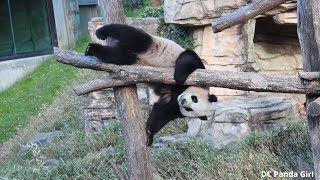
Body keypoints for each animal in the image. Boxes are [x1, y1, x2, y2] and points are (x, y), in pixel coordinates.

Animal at [84, 23, 218, 146]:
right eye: (194, 98)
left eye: (189, 108)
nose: (183, 101)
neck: (180, 92)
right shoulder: (197, 73)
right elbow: (189, 59)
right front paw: (179, 76)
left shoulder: (175, 106)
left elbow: (161, 113)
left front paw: (149, 135)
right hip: (151, 46)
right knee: (132, 36)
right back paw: (100, 34)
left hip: (129, 59)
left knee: (118, 56)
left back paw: (93, 49)